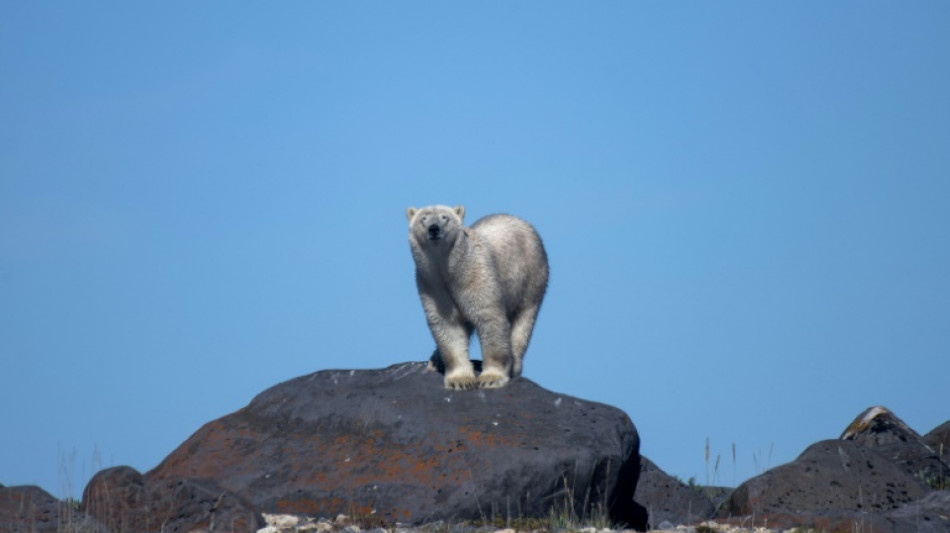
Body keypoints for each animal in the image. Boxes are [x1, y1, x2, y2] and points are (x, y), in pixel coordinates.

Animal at [406, 205, 549, 390]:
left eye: (445, 217)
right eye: (423, 219)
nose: (434, 228)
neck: (450, 270)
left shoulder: (477, 276)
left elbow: (489, 318)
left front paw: (491, 378)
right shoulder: (431, 285)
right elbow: (447, 325)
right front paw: (460, 380)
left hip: (531, 279)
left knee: (523, 322)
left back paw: (515, 364)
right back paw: (435, 361)